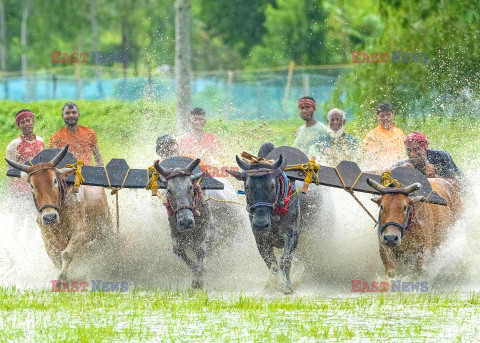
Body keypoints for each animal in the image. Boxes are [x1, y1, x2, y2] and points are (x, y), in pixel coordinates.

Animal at [5, 145, 112, 282]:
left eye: (55, 181)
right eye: (32, 186)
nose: (49, 217)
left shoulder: (80, 231)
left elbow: (66, 254)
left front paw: (62, 277)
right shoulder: (47, 238)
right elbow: (55, 259)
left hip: (106, 229)